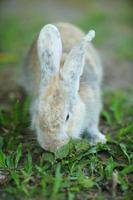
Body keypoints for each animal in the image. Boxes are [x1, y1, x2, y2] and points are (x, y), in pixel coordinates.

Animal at [21, 22, 106, 152]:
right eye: (38, 113)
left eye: (67, 117)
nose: (51, 145)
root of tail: (62, 23)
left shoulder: (94, 107)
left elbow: (92, 125)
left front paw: (97, 139)